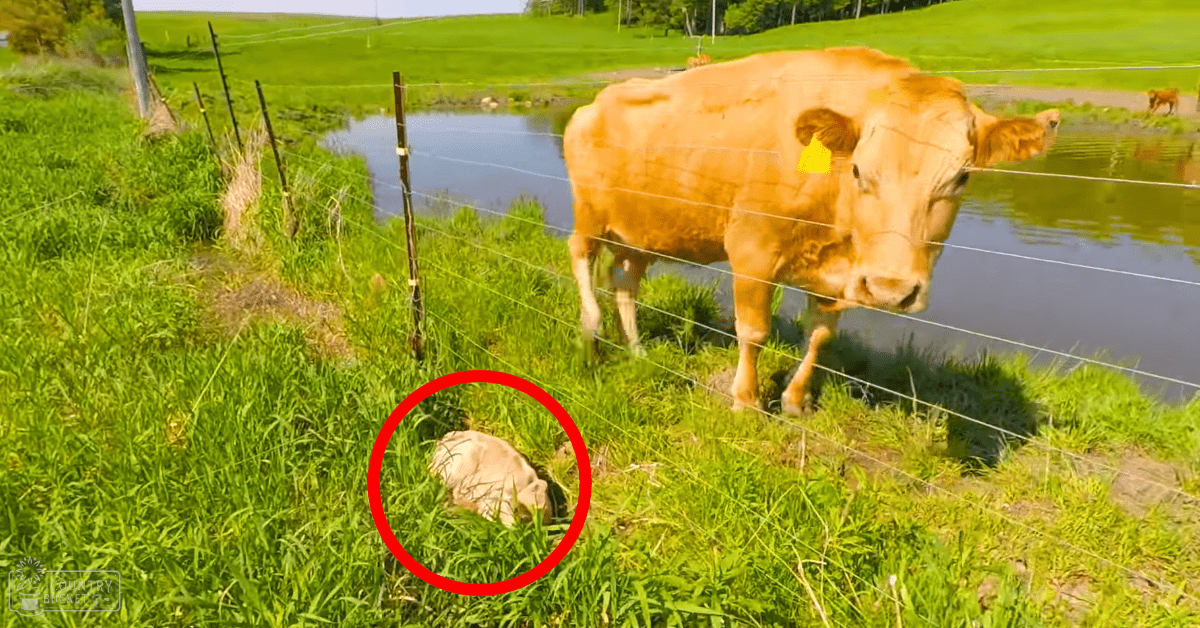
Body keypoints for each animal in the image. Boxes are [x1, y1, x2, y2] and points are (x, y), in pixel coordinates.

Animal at [563, 47, 1059, 416]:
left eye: (961, 177)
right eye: (858, 169)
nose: (890, 290)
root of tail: (596, 101)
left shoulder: (840, 274)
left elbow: (819, 336)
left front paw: (795, 401)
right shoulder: (751, 249)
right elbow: (753, 331)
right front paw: (746, 402)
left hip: (642, 231)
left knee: (625, 282)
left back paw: (636, 349)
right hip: (590, 214)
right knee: (580, 255)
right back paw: (591, 332)